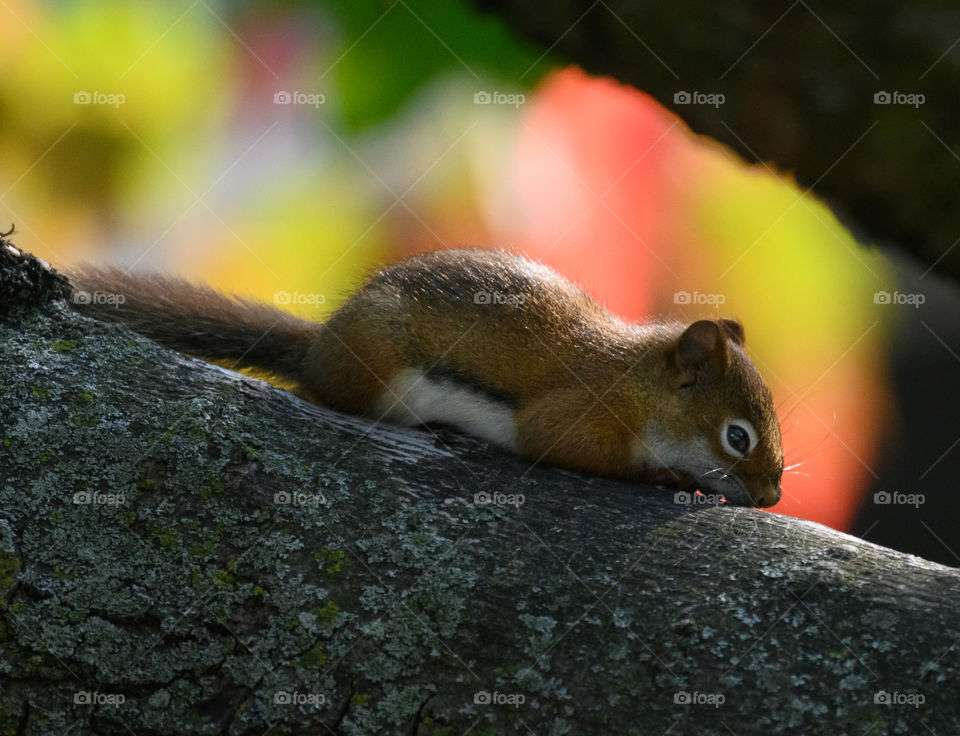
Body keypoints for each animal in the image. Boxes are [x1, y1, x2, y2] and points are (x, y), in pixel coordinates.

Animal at [71, 247, 784, 506]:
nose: (774, 496)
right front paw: (670, 475)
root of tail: (321, 346)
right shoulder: (581, 412)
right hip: (376, 363)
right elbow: (569, 448)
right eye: (738, 437)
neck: (638, 385)